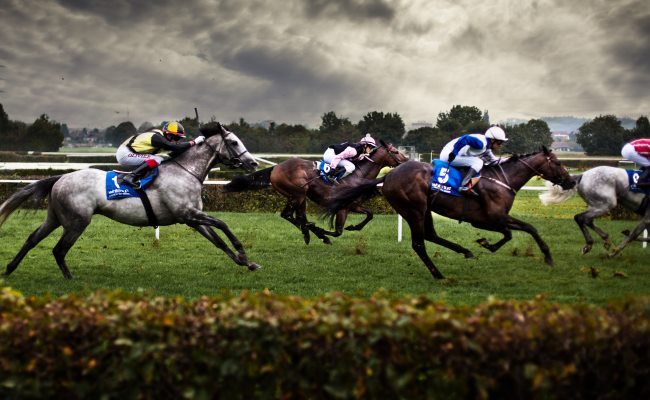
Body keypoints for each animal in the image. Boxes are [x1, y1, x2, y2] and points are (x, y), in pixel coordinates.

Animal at [0, 123, 258, 280]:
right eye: (234, 142)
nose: (253, 163)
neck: (186, 172)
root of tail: (61, 177)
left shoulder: (192, 218)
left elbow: (218, 241)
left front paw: (247, 263)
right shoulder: (187, 213)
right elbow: (223, 224)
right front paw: (242, 252)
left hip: (55, 217)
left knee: (32, 239)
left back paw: (10, 269)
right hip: (77, 221)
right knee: (58, 249)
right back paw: (69, 278)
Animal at [225, 142, 402, 245]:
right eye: (395, 151)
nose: (405, 160)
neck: (359, 175)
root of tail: (276, 167)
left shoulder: (353, 205)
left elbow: (369, 215)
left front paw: (353, 227)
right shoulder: (343, 207)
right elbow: (338, 231)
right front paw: (324, 232)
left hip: (299, 196)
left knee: (297, 216)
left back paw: (309, 233)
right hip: (298, 193)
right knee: (289, 215)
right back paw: (313, 233)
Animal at [324, 145, 572, 280]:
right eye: (558, 163)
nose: (570, 181)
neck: (503, 179)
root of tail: (388, 175)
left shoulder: (488, 220)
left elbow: (509, 233)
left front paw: (486, 244)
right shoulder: (493, 217)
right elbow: (529, 227)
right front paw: (548, 257)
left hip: (424, 209)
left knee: (430, 235)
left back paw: (465, 251)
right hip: (414, 209)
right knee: (419, 243)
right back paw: (438, 273)